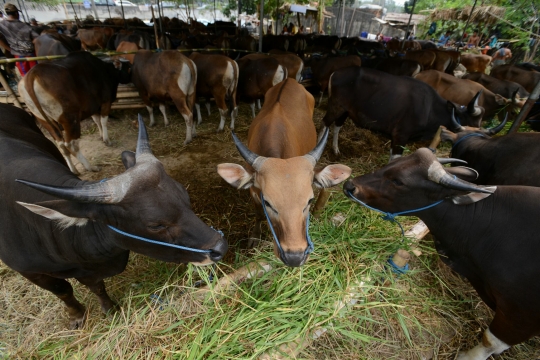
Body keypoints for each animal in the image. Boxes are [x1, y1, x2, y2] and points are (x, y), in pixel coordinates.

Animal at [0, 104, 227, 330]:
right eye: (155, 225)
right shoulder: (32, 273)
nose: (220, 247)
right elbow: (64, 291)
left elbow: (97, 287)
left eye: (185, 195)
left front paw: (109, 309)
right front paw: (76, 315)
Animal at [217, 81, 352, 268]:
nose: (294, 257)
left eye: (309, 201)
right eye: (268, 202)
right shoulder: (253, 191)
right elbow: (258, 214)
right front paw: (254, 237)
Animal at [318, 67, 484, 158]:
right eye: (472, 122)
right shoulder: (401, 135)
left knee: (337, 126)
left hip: (345, 111)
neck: (430, 108)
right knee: (325, 123)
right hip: (336, 106)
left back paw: (336, 150)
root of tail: (335, 73)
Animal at [344, 146, 540, 360]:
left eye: (398, 181)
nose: (350, 185)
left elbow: (490, 342)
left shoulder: (520, 317)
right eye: (392, 162)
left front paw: (466, 357)